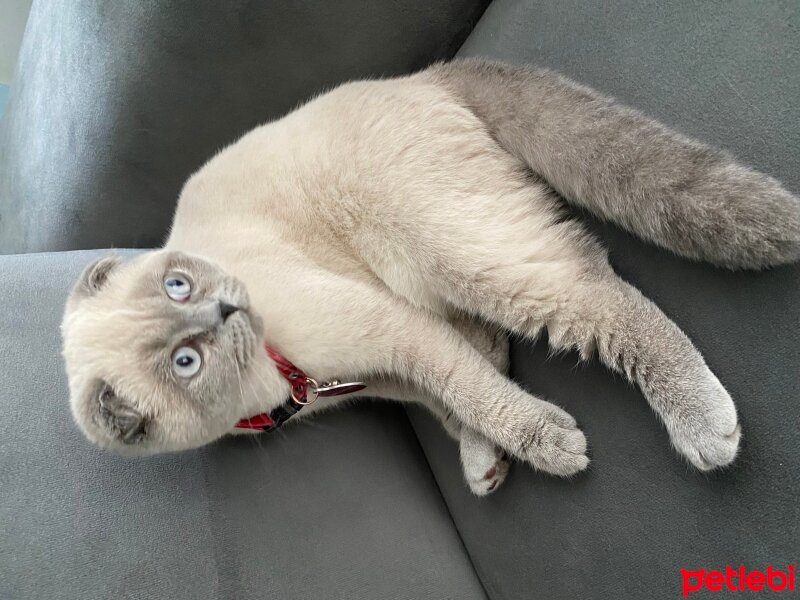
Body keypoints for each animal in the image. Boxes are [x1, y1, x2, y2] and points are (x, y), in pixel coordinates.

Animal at [62, 58, 800, 494]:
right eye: (184, 361)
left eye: (178, 284)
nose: (225, 309)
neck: (277, 382)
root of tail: (421, 75)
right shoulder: (382, 374)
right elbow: (454, 399)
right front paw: (490, 452)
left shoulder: (389, 329)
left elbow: (470, 391)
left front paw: (546, 444)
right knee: (496, 339)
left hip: (452, 247)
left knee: (595, 294)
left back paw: (702, 425)